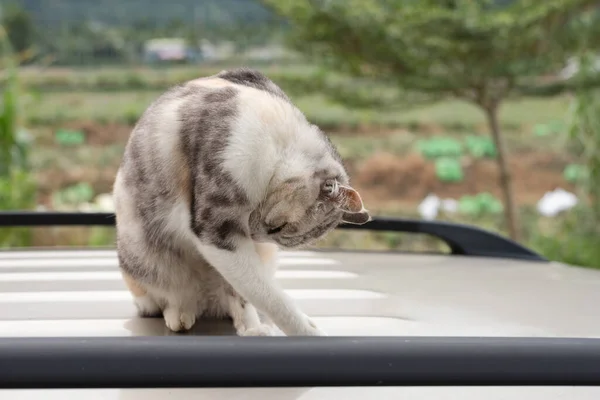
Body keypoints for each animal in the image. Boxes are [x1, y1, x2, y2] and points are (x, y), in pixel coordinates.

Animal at [110, 67, 368, 336]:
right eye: (277, 227)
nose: (253, 236)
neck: (277, 138)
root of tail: (207, 303)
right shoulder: (217, 231)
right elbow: (271, 298)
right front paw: (309, 332)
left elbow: (253, 293)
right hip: (145, 258)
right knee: (166, 297)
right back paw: (180, 314)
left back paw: (250, 327)